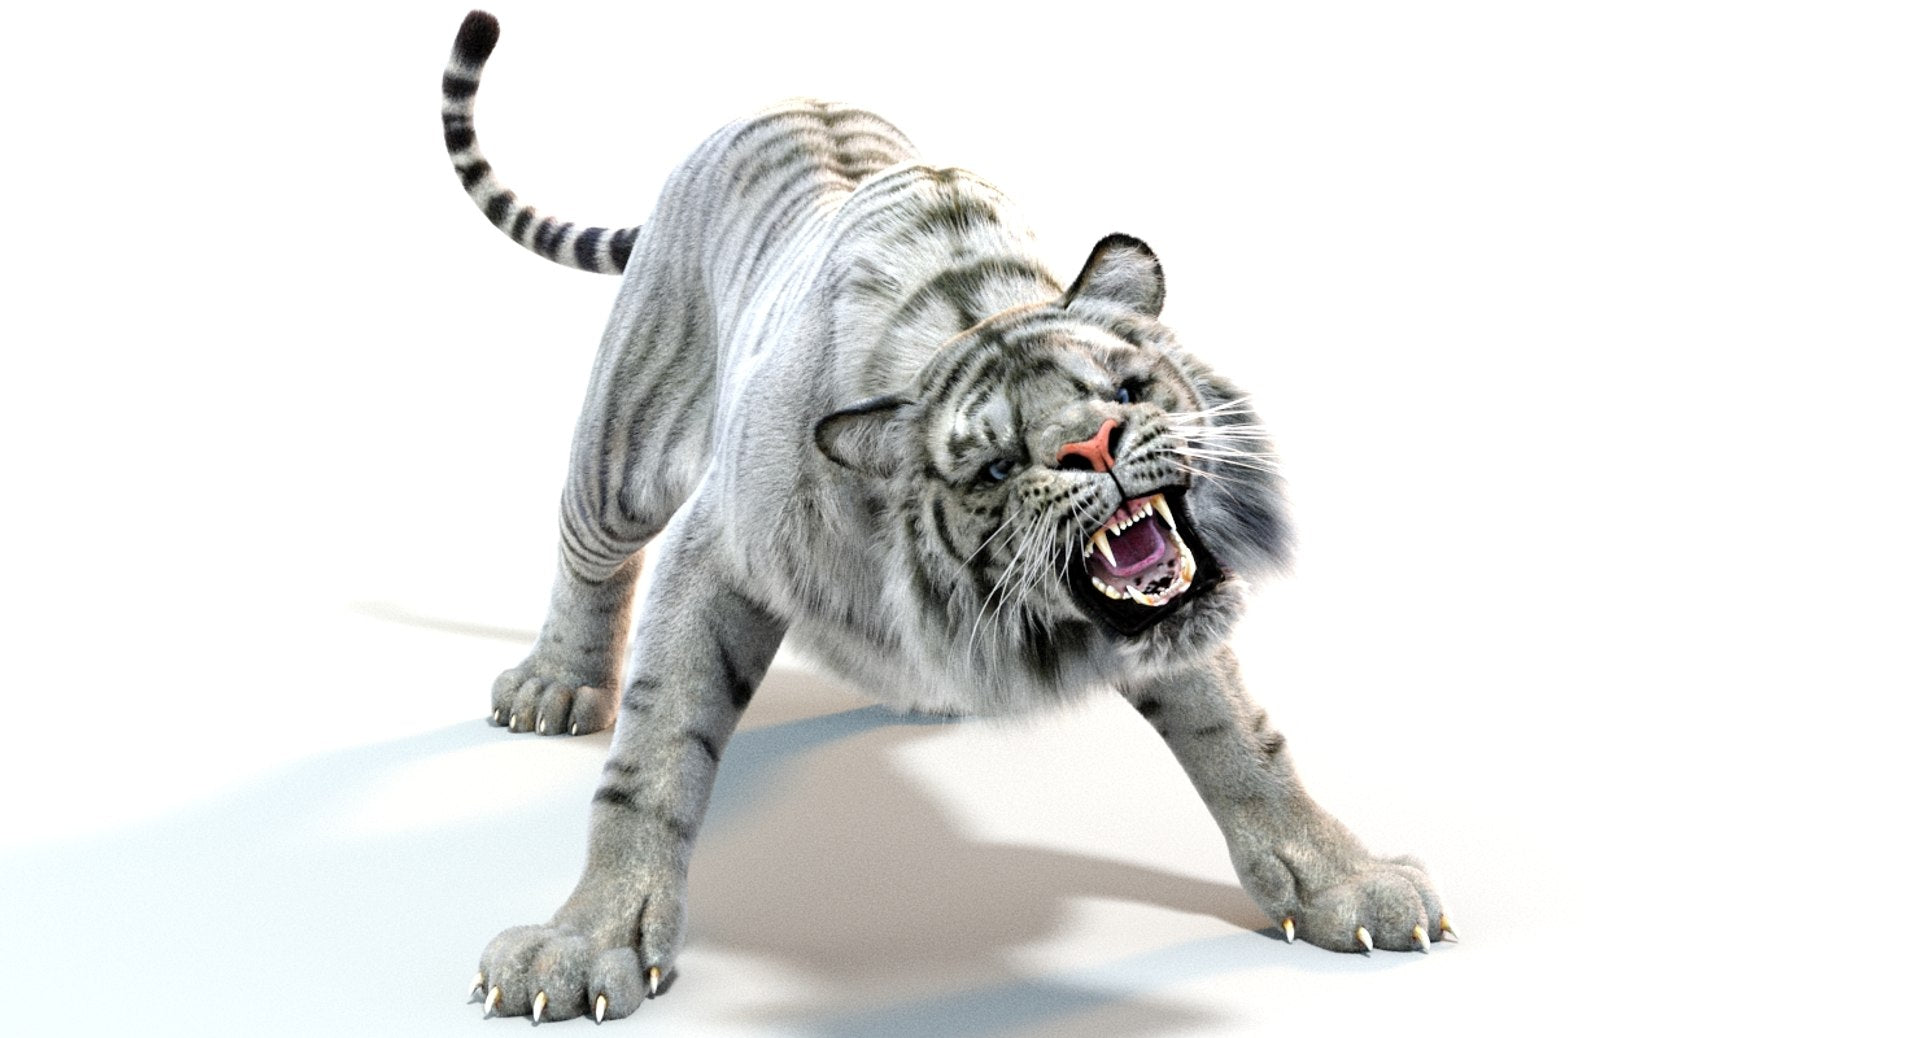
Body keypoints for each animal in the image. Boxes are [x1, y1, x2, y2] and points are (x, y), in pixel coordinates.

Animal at [441, 10, 1451, 1024]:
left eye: (1127, 390)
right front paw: (583, 944)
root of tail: (785, 95)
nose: (1094, 446)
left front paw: (1344, 885)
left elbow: (1239, 735)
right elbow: (655, 751)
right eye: (998, 465)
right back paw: (555, 686)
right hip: (624, 447)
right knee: (589, 547)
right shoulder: (717, 548)